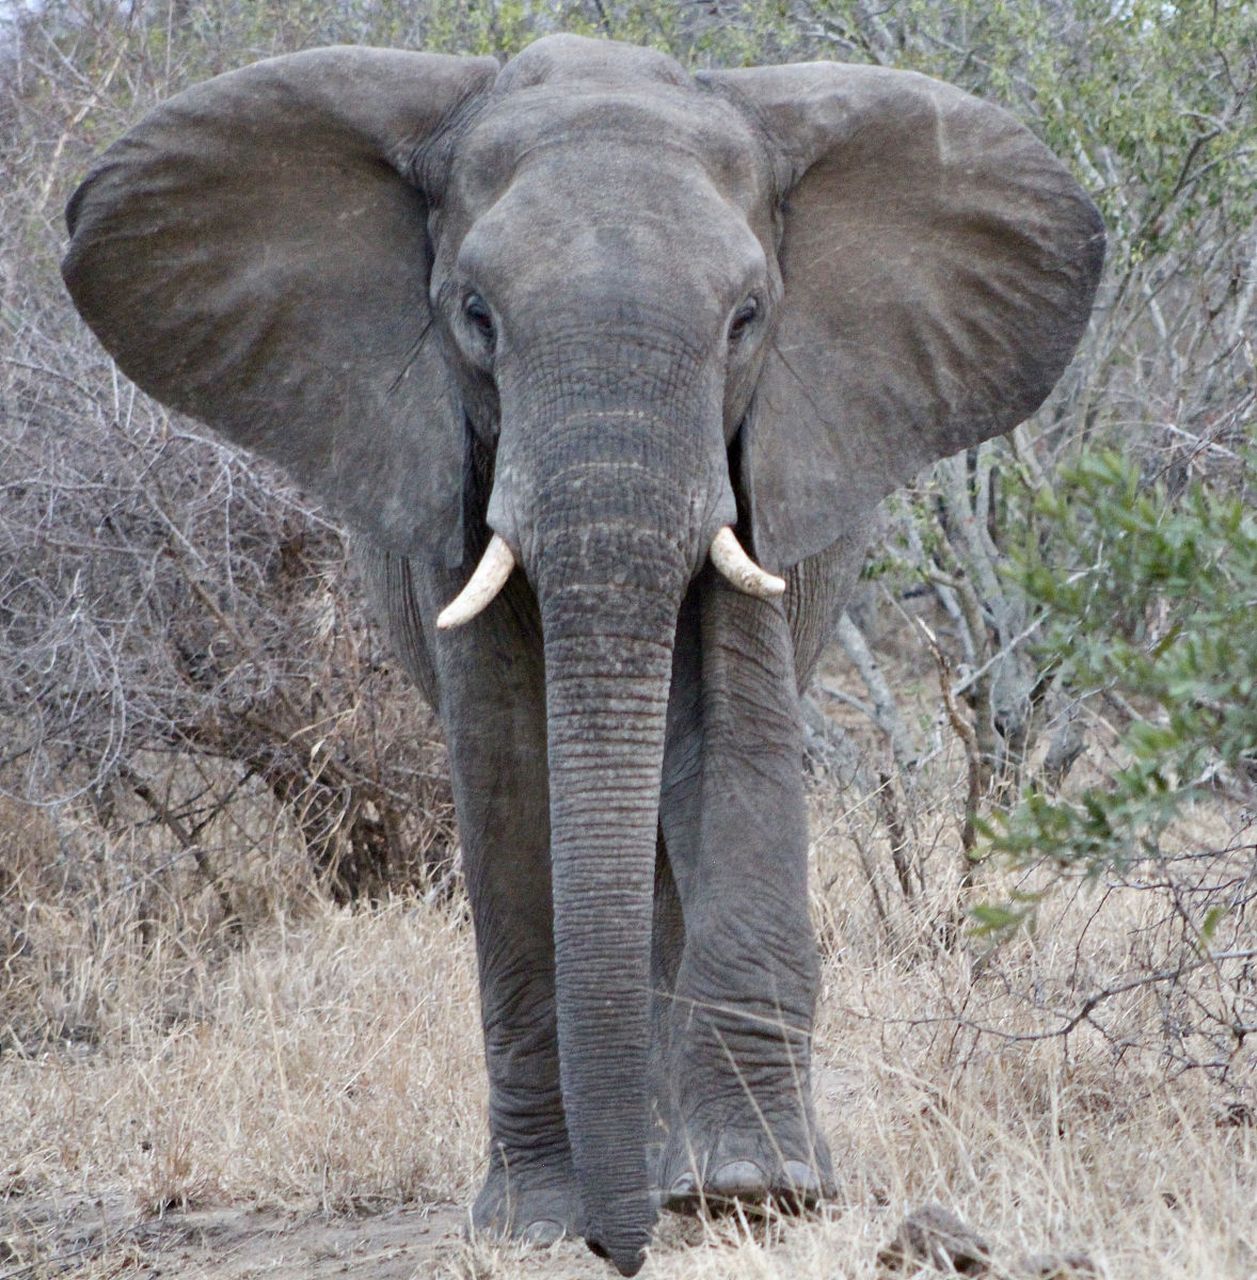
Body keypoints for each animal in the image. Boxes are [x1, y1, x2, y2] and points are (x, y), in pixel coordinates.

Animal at [61, 32, 1100, 1280]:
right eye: (474, 316)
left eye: (748, 317)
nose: (624, 1249)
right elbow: (511, 765)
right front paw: (539, 1218)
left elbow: (732, 732)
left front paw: (754, 1193)